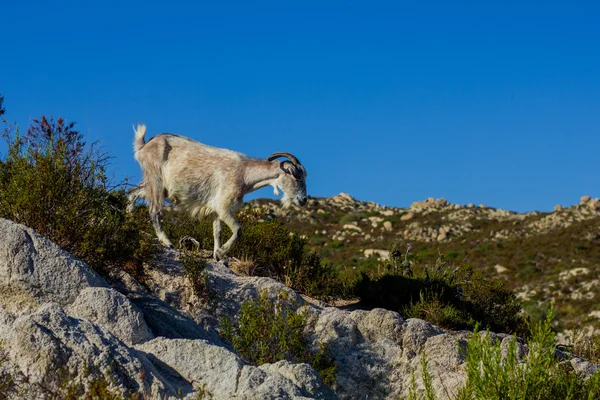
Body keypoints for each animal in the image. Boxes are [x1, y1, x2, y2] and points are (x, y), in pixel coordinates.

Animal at [125, 124, 304, 260]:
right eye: (298, 178)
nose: (303, 201)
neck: (245, 174)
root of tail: (144, 146)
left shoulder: (216, 210)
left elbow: (217, 232)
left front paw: (217, 256)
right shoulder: (224, 206)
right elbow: (238, 229)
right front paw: (222, 252)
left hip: (156, 186)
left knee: (132, 192)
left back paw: (128, 220)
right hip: (156, 180)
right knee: (154, 210)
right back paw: (167, 241)